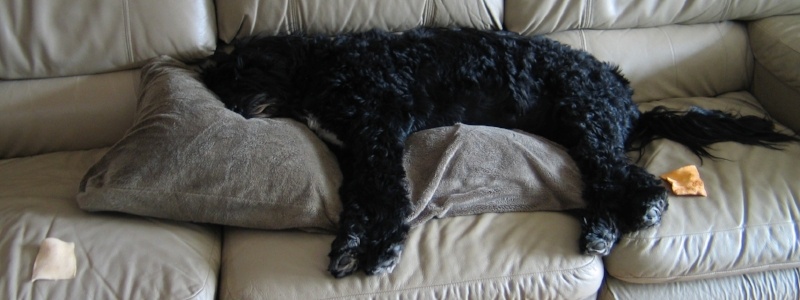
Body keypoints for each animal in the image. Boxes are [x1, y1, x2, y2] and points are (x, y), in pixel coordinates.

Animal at [202, 27, 800, 278]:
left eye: (241, 71)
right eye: (216, 82)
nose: (231, 106)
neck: (322, 65)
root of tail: (626, 96)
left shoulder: (379, 130)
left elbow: (389, 200)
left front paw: (382, 249)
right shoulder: (359, 149)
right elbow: (358, 201)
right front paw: (350, 244)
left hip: (586, 118)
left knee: (634, 181)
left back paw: (645, 208)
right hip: (582, 134)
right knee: (604, 184)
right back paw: (599, 232)